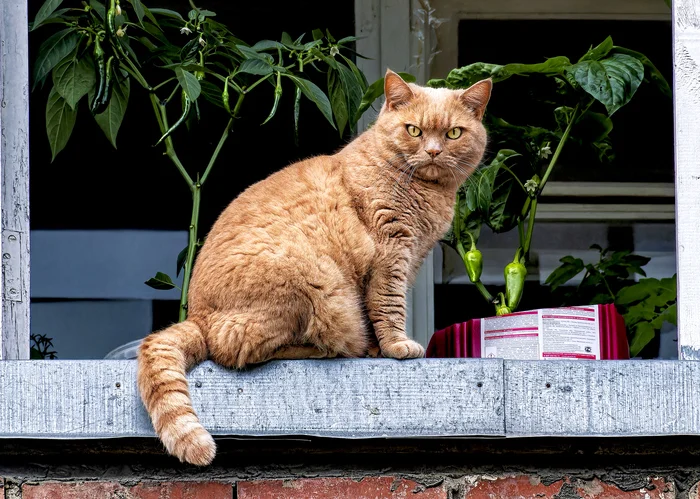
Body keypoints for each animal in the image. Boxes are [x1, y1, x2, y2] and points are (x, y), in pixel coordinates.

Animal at [135, 69, 486, 464]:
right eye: (414, 130)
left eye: (453, 133)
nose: (433, 151)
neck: (425, 193)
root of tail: (197, 316)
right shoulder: (391, 253)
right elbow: (389, 306)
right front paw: (397, 346)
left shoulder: (410, 258)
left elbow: (380, 309)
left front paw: (381, 348)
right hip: (315, 281)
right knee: (242, 350)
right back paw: (333, 349)